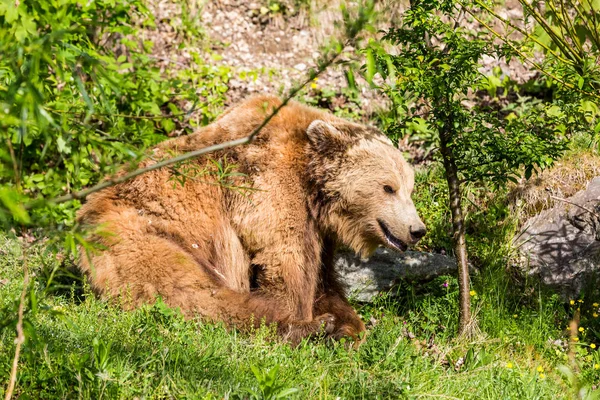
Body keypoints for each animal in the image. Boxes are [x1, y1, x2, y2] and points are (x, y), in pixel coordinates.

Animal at [77, 94, 426, 344]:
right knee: (187, 291)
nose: (417, 230)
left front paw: (349, 327)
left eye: (409, 188)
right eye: (388, 187)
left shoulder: (319, 229)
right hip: (140, 234)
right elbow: (285, 261)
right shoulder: (269, 188)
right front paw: (318, 321)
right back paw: (304, 328)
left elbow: (324, 281)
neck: (313, 183)